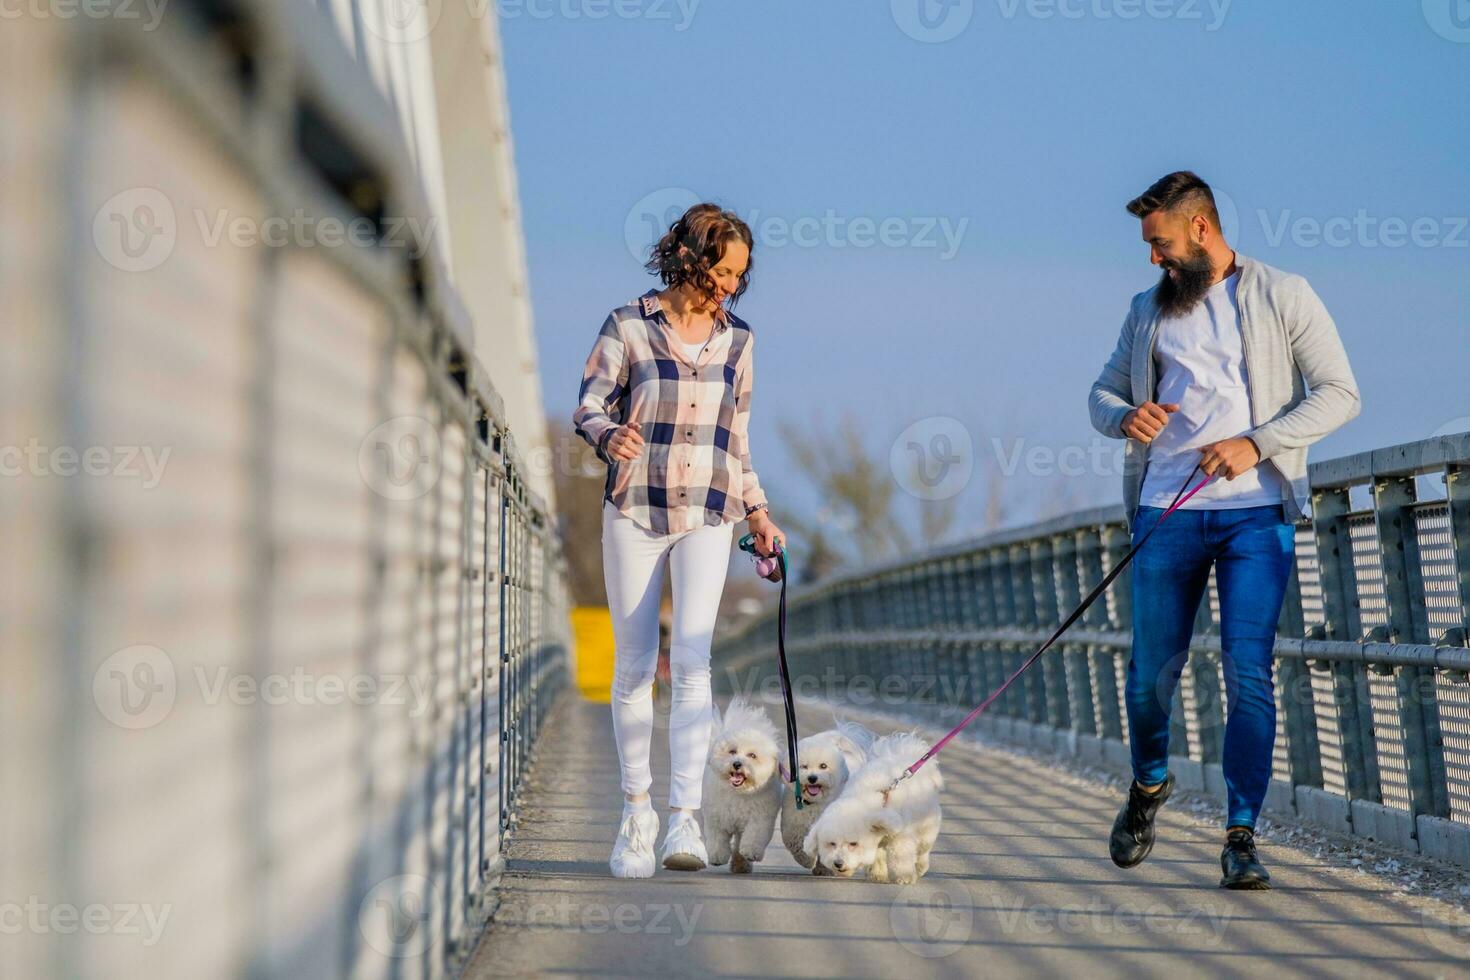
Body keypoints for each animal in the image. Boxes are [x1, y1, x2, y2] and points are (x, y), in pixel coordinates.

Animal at [702, 696, 787, 875]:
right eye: (732, 751)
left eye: (752, 755)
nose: (737, 764)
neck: (740, 792)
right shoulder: (716, 818)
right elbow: (717, 838)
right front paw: (717, 856)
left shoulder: (760, 818)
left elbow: (754, 836)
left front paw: (751, 852)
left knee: (739, 843)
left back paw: (741, 864)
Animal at [782, 717, 870, 869]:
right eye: (803, 766)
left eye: (823, 766)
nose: (812, 778)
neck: (815, 803)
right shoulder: (793, 824)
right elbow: (795, 842)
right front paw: (807, 860)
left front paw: (823, 869)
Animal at [805, 731, 940, 887]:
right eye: (832, 844)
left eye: (853, 844)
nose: (838, 863)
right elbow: (878, 857)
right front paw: (878, 874)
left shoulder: (901, 836)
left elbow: (900, 855)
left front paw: (904, 877)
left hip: (927, 825)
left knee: (924, 848)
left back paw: (920, 867)